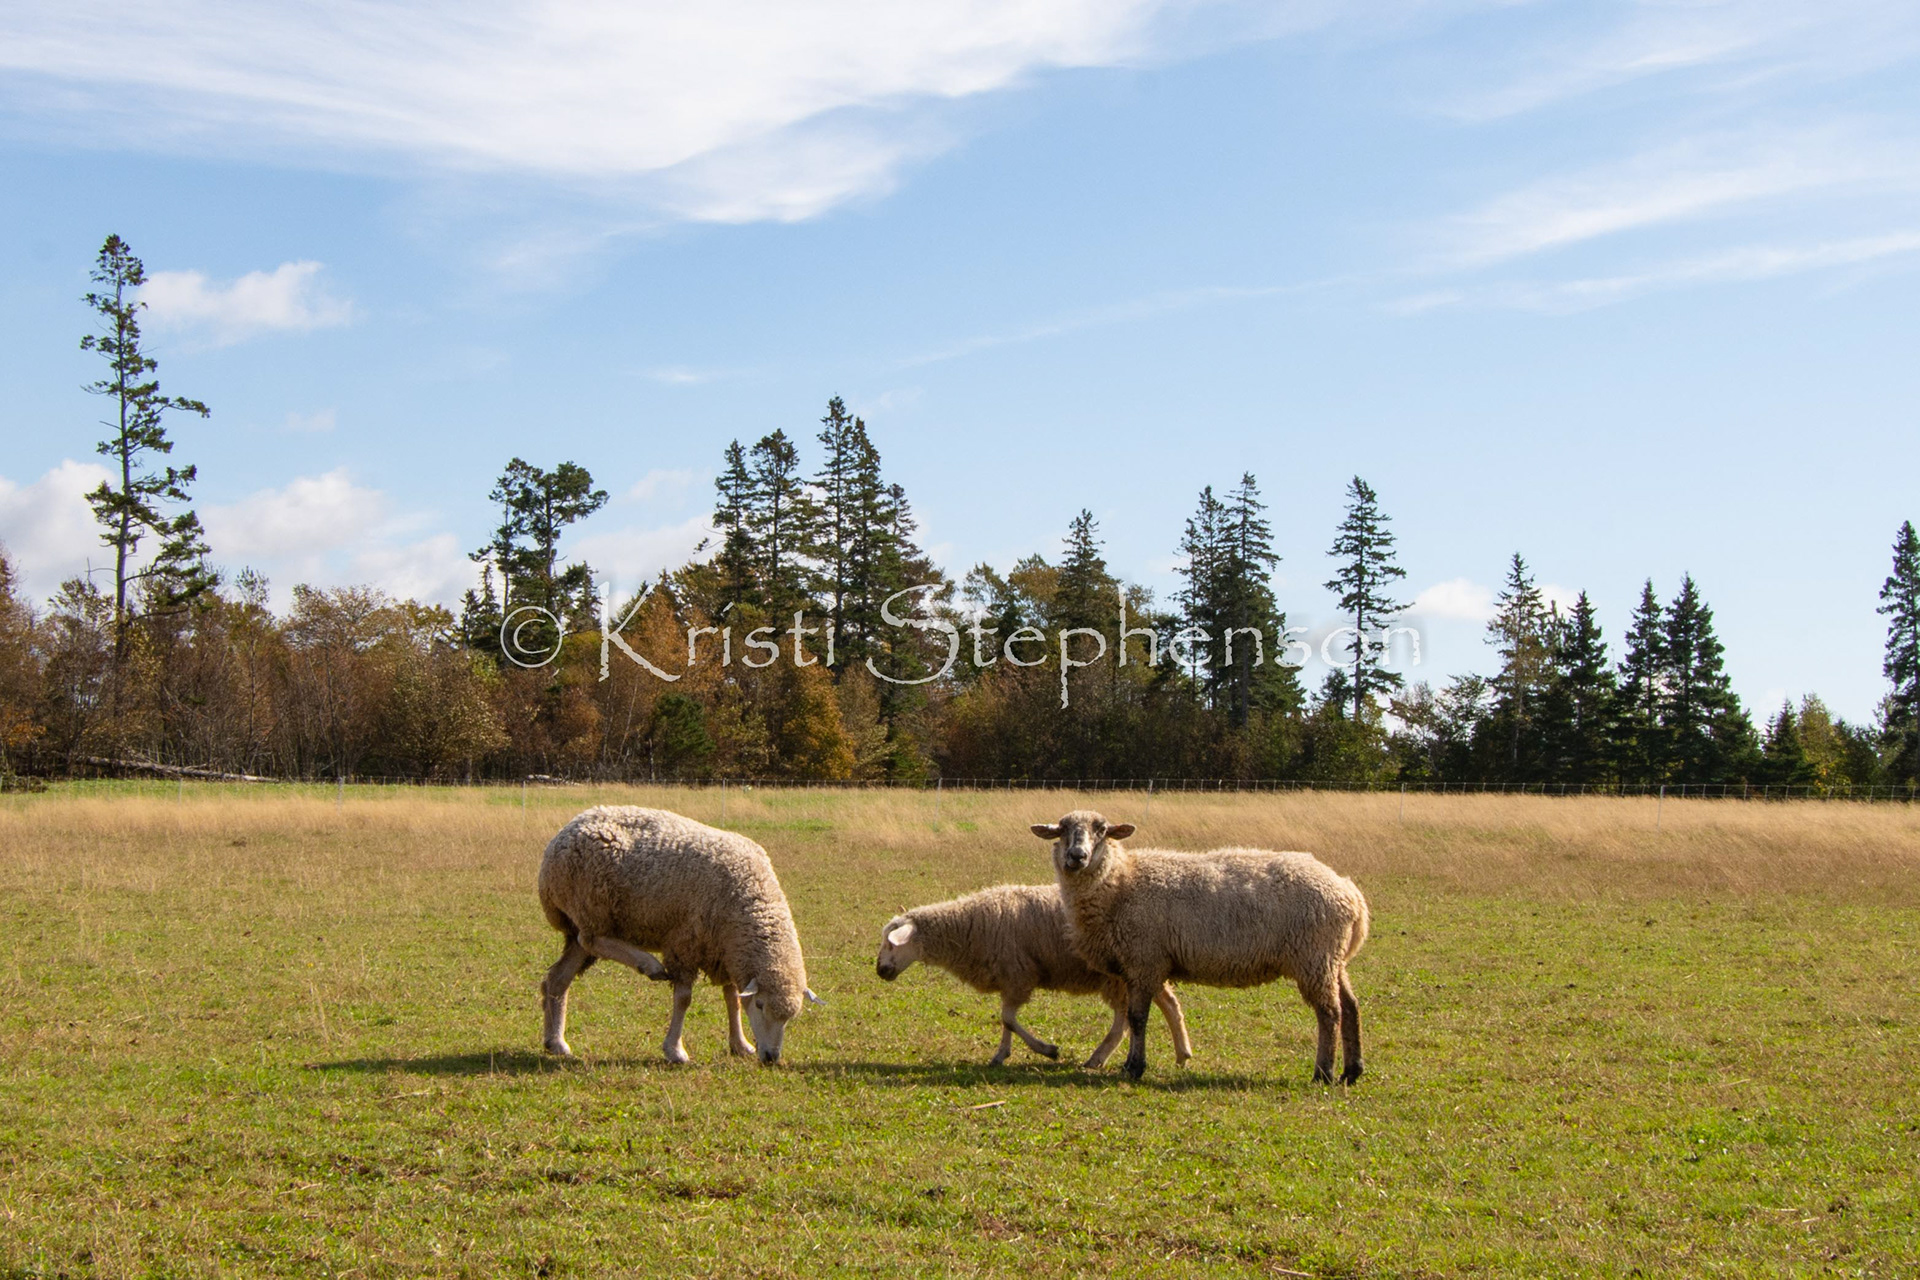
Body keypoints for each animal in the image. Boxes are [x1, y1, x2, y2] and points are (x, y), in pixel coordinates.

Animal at [537, 806, 818, 1065]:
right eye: (760, 1005)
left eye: (790, 1017)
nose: (771, 1057)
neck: (749, 898)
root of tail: (567, 829)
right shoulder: (685, 944)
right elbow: (684, 999)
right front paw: (675, 1050)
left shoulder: (724, 949)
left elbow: (733, 999)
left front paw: (740, 1044)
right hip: (591, 904)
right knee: (592, 939)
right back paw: (648, 964)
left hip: (579, 920)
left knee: (559, 977)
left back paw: (556, 1042)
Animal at [875, 883, 1192, 1068]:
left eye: (891, 943)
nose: (880, 970)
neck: (970, 924)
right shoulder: (1008, 977)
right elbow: (1006, 1020)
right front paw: (1000, 1055)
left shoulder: (1019, 975)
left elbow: (1009, 1019)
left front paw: (1048, 1050)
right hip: (1135, 971)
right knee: (1162, 1005)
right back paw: (1181, 1053)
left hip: (1121, 974)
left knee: (1129, 1018)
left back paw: (1099, 1058)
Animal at [1032, 810, 1369, 1085]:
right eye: (1063, 829)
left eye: (1101, 829)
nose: (1077, 855)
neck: (1120, 883)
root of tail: (1349, 893)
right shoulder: (1140, 964)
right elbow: (1137, 1015)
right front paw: (1134, 1064)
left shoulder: (1144, 960)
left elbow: (1138, 1018)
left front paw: (1134, 1067)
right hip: (1332, 960)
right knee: (1351, 1006)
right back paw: (1352, 1071)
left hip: (1314, 957)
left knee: (1330, 1012)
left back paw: (1323, 1073)